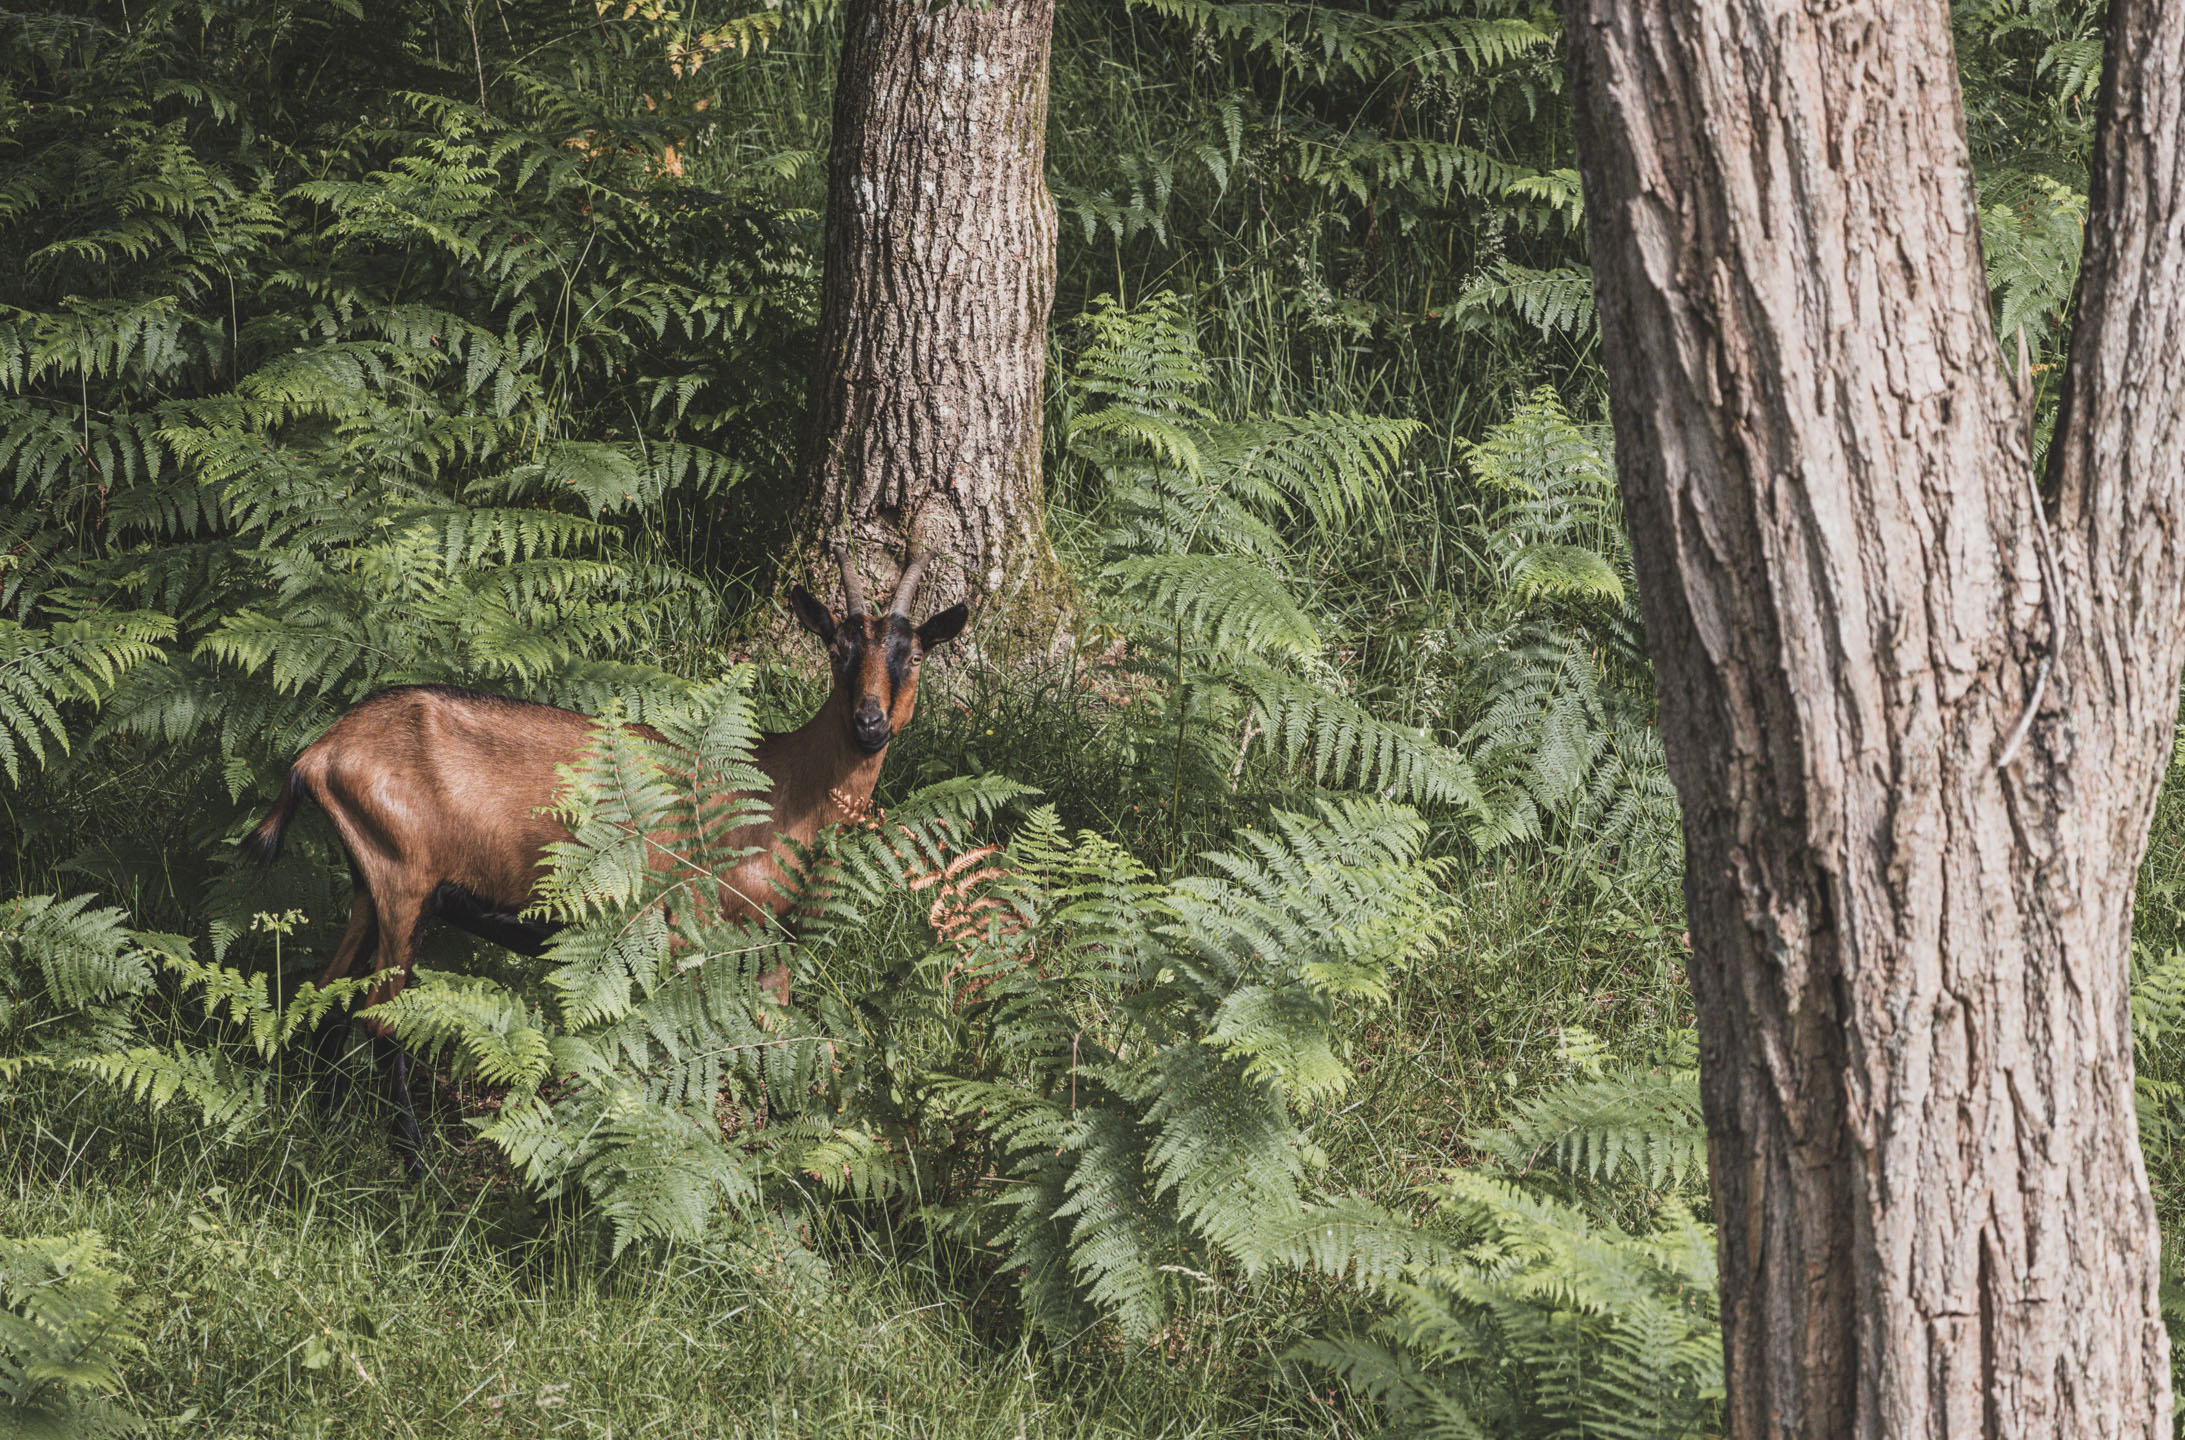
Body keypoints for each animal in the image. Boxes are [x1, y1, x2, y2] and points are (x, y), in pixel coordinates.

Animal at [243, 548, 961, 1171]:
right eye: (837, 650)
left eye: (913, 652)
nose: (869, 723)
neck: (781, 787)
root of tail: (318, 754)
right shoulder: (695, 928)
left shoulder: (767, 946)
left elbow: (778, 1044)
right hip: (403, 883)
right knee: (380, 1017)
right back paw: (415, 1163)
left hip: (369, 882)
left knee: (327, 995)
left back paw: (326, 1126)